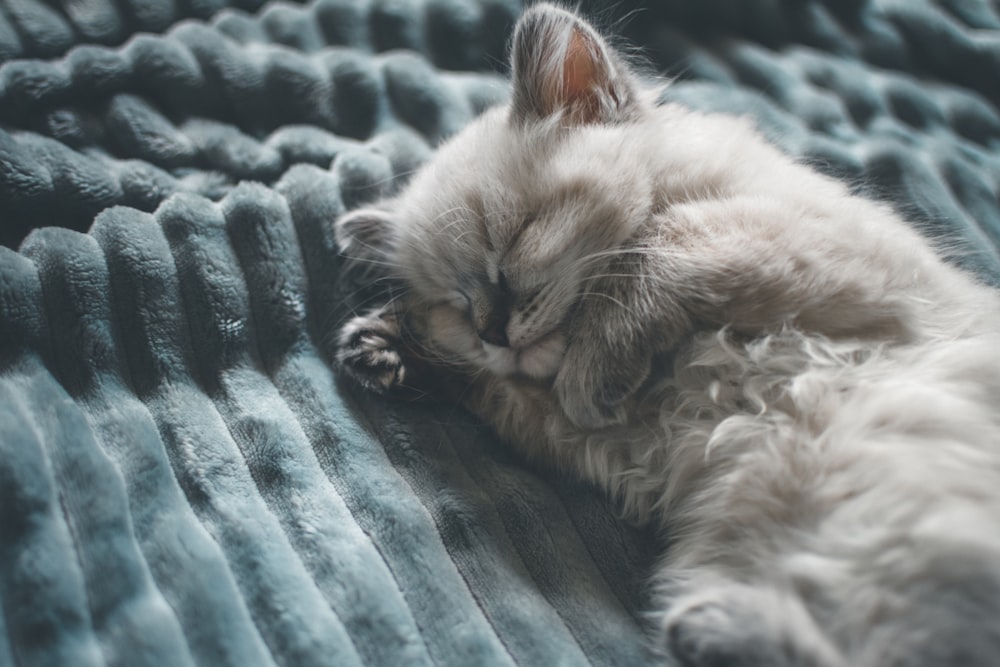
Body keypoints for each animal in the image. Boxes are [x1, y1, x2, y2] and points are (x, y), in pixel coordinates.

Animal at [332, 6, 1000, 667]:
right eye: (458, 303)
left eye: (513, 244)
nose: (492, 331)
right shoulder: (621, 445)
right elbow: (495, 389)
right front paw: (383, 348)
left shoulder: (824, 254)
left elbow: (659, 251)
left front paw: (590, 371)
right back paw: (707, 628)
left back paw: (707, 626)